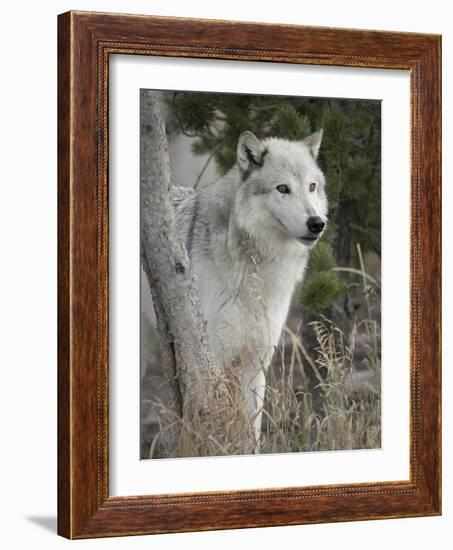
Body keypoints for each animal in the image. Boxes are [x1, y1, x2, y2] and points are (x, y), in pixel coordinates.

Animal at [143, 129, 324, 452]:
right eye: (283, 188)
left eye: (312, 186)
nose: (317, 223)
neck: (256, 272)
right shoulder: (214, 355)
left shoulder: (257, 359)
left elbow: (253, 428)